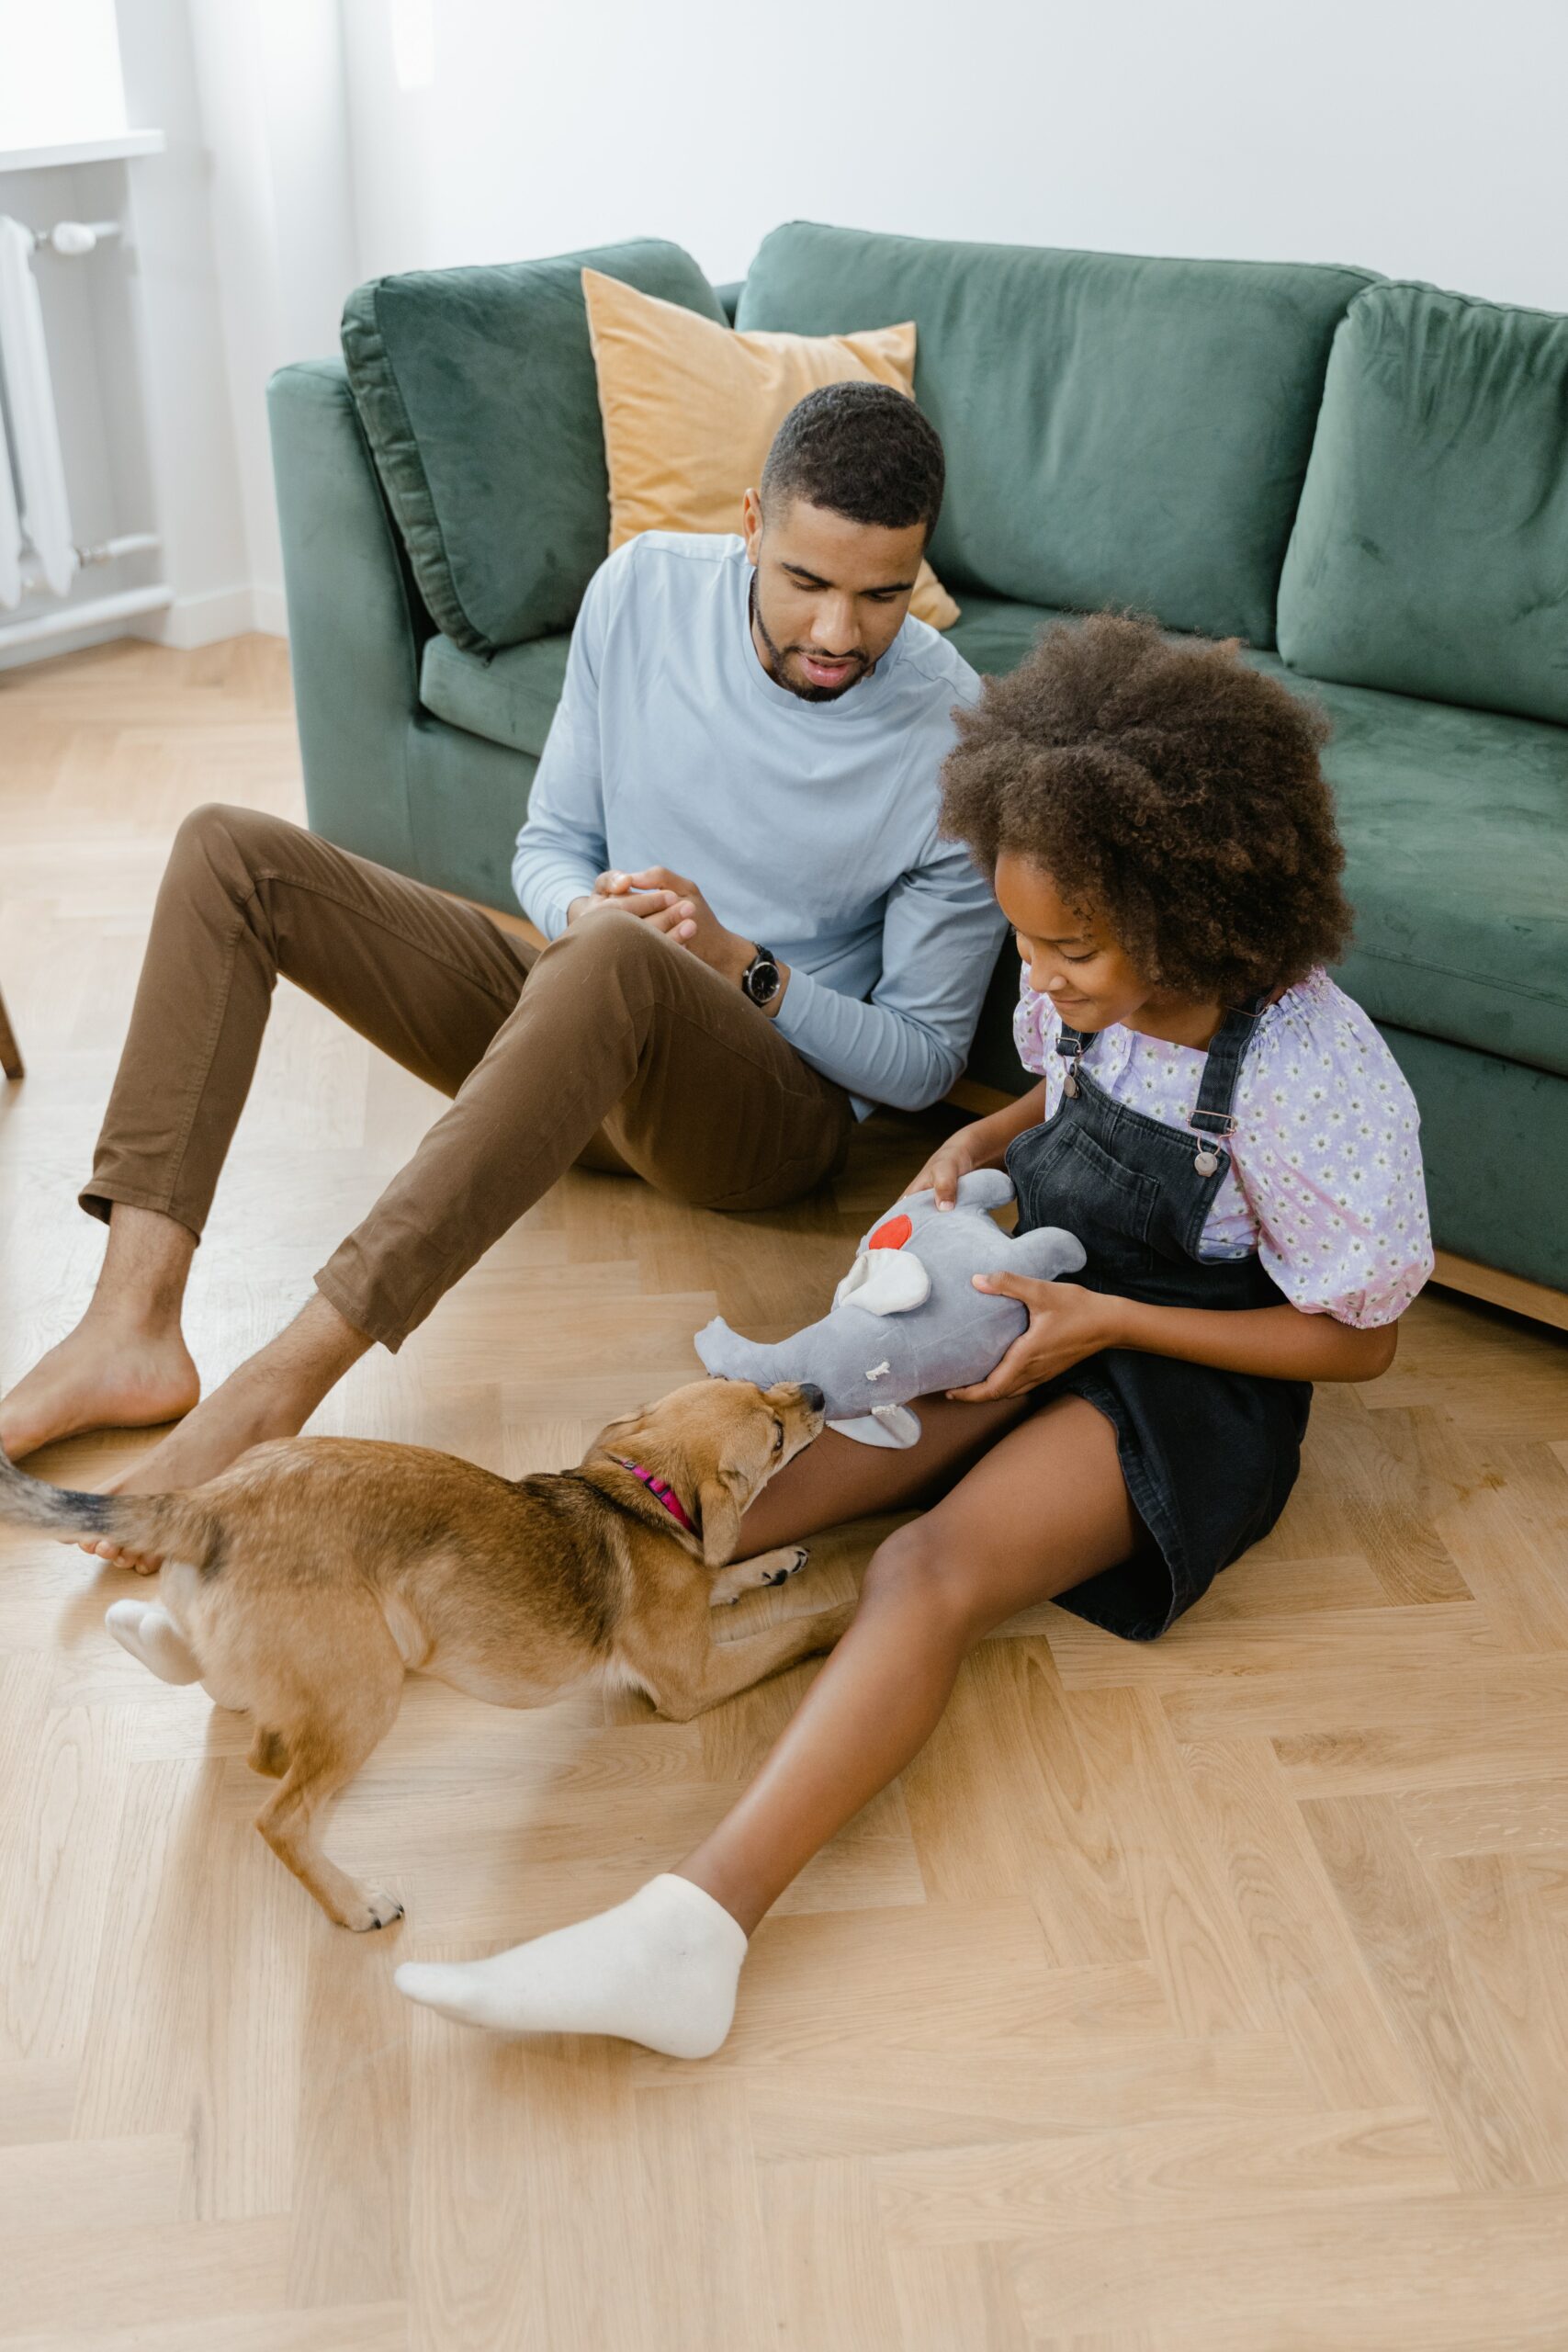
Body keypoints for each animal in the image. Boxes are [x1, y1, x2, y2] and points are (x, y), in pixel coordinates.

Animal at [0, 1374, 846, 1928]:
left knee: (244, 1720)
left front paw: (771, 1563)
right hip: (368, 1688)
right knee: (279, 1807)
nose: (814, 1389)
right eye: (775, 1436)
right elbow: (790, 1630)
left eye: (757, 1382)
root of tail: (205, 1504)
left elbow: (727, 1576)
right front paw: (843, 1611)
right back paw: (355, 1904)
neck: (640, 1496)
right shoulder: (690, 1681)